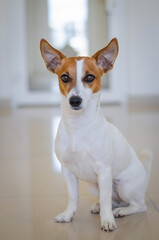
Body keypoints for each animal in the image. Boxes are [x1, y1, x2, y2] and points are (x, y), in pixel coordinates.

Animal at [39, 38, 153, 232]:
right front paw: (68, 215)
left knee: (137, 205)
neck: (79, 127)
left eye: (89, 78)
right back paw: (101, 207)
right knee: (111, 201)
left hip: (124, 186)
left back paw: (121, 211)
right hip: (95, 187)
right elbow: (73, 197)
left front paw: (107, 221)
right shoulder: (67, 171)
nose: (74, 100)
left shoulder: (104, 171)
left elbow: (106, 201)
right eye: (65, 77)